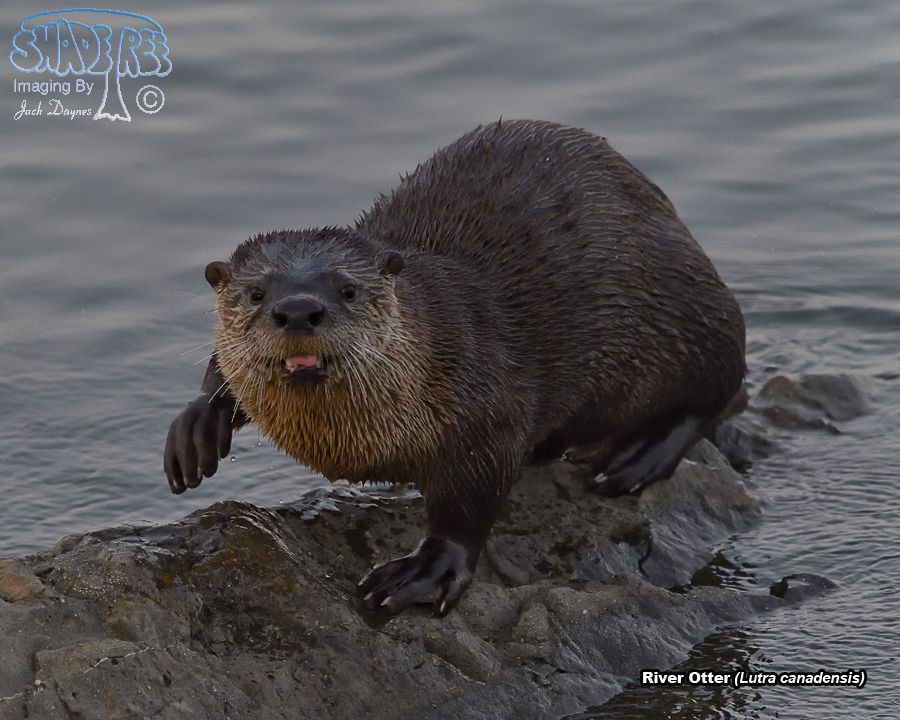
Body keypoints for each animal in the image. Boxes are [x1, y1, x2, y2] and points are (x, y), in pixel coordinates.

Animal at [164, 119, 745, 616]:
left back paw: (636, 459)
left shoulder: (486, 409)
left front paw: (425, 570)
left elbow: (470, 505)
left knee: (720, 385)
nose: (299, 309)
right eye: (256, 292)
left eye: (347, 289)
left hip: (688, 304)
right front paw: (197, 427)